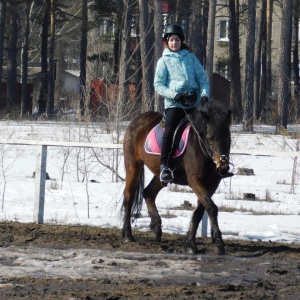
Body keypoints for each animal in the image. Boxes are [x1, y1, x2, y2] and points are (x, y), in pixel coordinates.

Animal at [120, 100, 231, 253]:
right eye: (210, 138)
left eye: (229, 138)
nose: (223, 168)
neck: (200, 146)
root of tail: (138, 119)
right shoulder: (195, 181)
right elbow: (211, 208)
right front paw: (218, 244)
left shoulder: (212, 183)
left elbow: (200, 210)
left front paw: (190, 242)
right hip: (133, 166)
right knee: (129, 197)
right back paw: (127, 235)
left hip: (159, 173)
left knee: (148, 192)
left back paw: (156, 229)